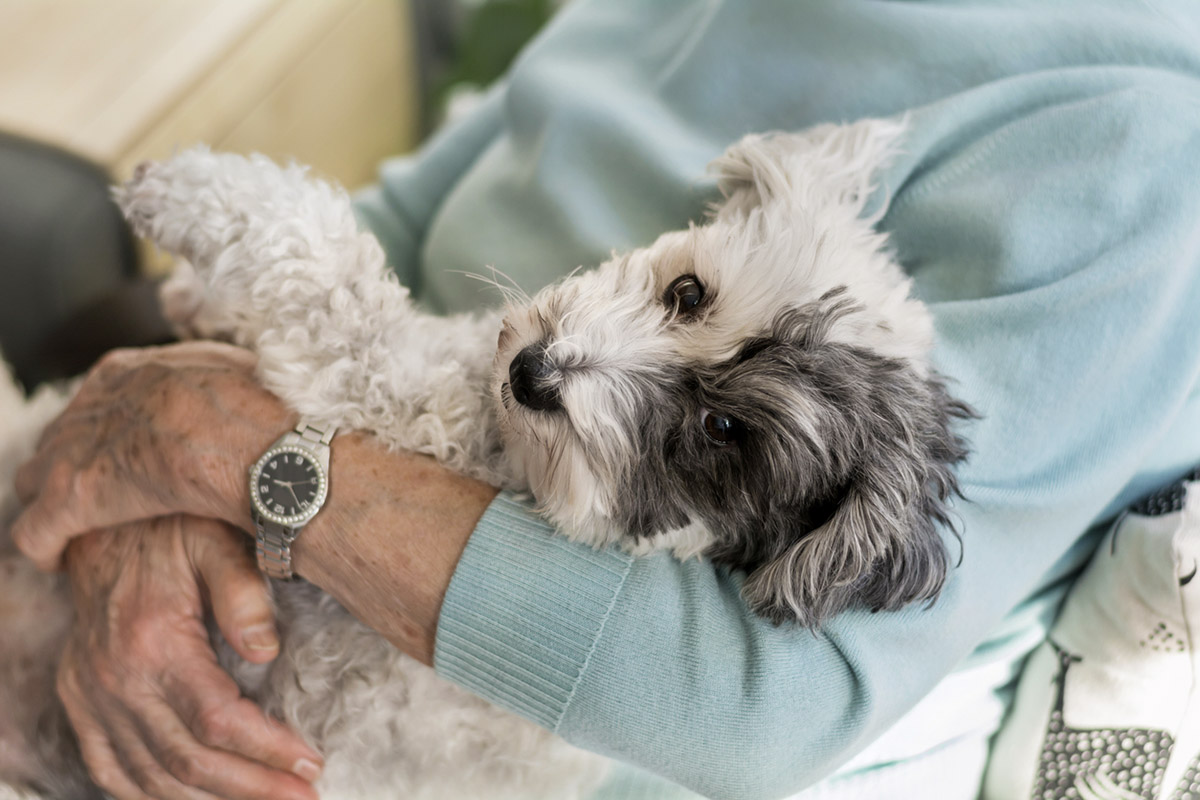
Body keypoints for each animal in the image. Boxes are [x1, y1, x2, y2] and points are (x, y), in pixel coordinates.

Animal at [0, 118, 969, 800]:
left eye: (723, 431)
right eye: (689, 293)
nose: (532, 372)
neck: (508, 449)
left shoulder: (384, 382)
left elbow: (328, 259)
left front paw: (185, 191)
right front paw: (197, 298)